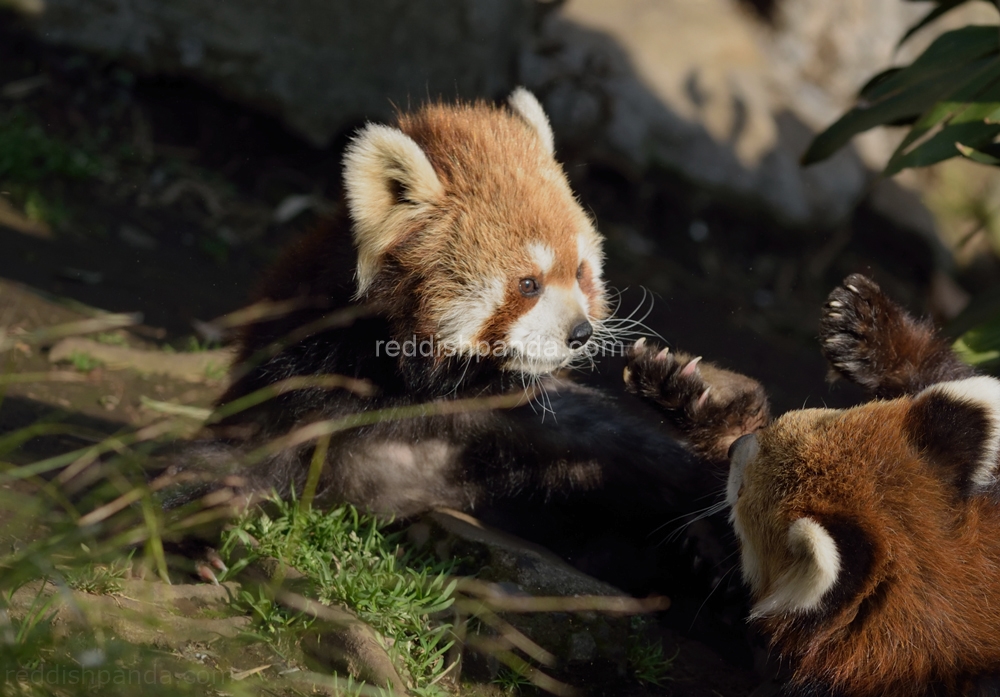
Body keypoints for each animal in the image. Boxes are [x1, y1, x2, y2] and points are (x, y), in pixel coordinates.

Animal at [168, 89, 768, 596]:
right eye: (528, 284)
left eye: (580, 273)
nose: (581, 333)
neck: (419, 388)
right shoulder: (299, 381)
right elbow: (221, 458)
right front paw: (187, 539)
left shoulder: (518, 418)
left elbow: (635, 455)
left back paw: (699, 407)